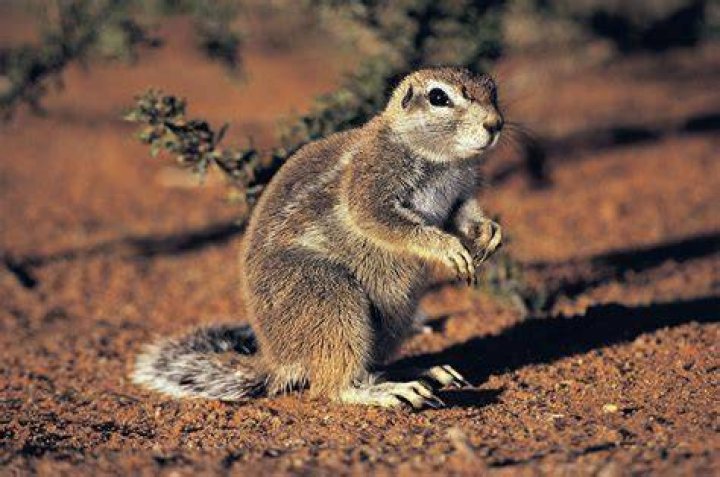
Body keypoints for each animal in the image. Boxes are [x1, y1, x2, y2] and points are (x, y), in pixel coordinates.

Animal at [132, 67, 504, 408]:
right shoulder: (371, 180)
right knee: (332, 386)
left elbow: (463, 213)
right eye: (439, 97)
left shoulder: (460, 192)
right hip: (331, 298)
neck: (443, 159)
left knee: (368, 367)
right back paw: (391, 391)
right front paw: (448, 247)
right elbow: (380, 218)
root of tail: (278, 360)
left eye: (493, 89)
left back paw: (425, 373)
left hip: (395, 318)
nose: (496, 124)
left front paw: (488, 232)